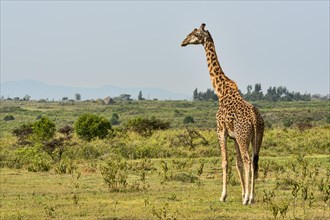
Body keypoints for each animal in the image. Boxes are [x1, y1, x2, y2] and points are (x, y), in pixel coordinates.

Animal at [182, 23, 264, 205]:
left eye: (195, 33)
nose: (183, 42)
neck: (221, 91)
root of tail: (255, 119)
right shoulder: (234, 136)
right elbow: (237, 163)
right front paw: (242, 193)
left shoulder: (221, 130)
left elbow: (225, 162)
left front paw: (223, 196)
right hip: (257, 136)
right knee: (254, 161)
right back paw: (252, 196)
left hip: (243, 136)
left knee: (248, 160)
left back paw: (248, 199)